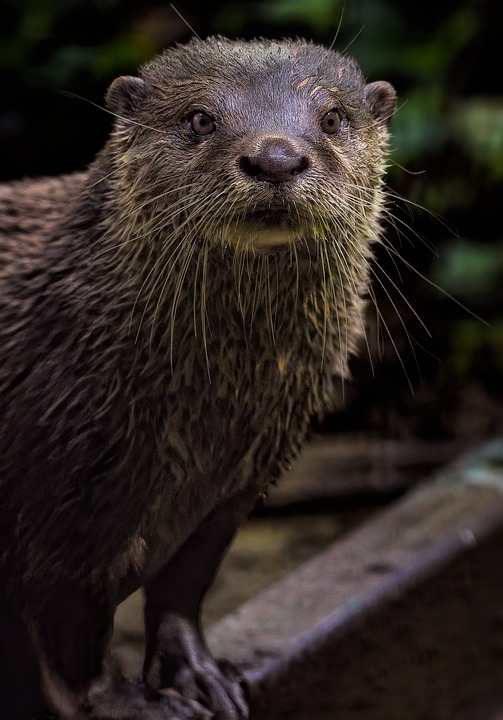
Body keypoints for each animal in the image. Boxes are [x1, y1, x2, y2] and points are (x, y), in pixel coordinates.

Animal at [0, 38, 396, 720]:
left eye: (332, 118)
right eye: (200, 119)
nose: (275, 157)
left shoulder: (239, 483)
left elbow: (184, 586)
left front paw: (197, 674)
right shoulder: (57, 499)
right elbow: (71, 629)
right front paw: (125, 702)